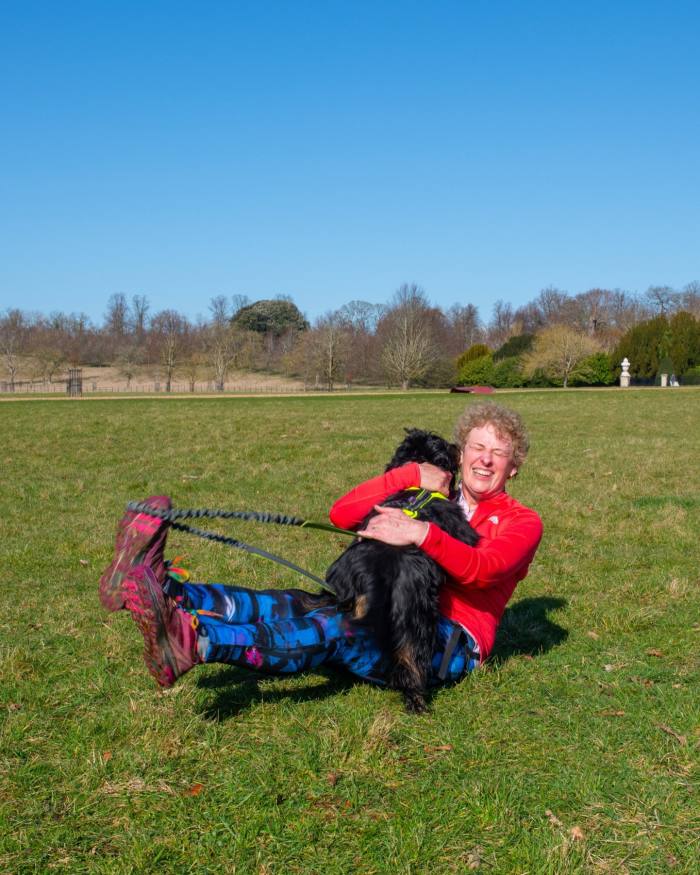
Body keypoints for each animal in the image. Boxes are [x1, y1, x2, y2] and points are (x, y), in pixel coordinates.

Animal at [324, 430, 478, 712]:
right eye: (443, 444)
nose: (456, 446)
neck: (418, 491)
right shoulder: (463, 531)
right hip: (415, 615)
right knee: (411, 659)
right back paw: (416, 699)